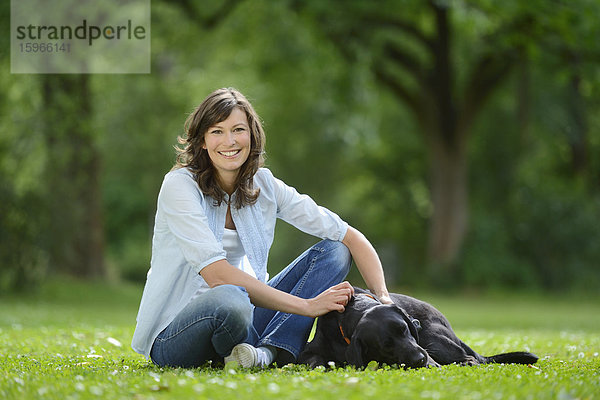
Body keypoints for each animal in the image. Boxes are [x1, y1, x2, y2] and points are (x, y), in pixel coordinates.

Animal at [300, 288, 540, 368]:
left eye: (405, 329)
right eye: (386, 345)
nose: (420, 359)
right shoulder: (310, 351)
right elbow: (315, 361)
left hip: (432, 339)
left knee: (470, 359)